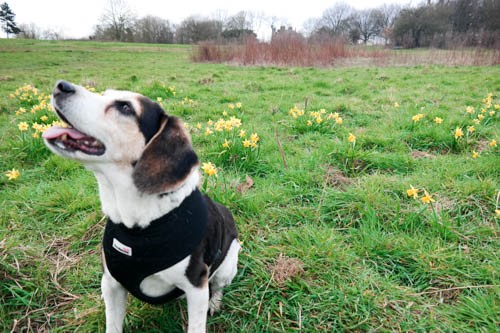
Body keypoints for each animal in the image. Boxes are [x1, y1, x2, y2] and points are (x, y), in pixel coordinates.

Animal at [43, 81, 240, 332]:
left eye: (125, 107)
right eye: (104, 94)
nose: (61, 86)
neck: (137, 227)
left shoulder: (197, 286)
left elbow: (196, 324)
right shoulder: (112, 283)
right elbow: (112, 324)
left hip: (227, 265)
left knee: (218, 287)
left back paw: (214, 303)